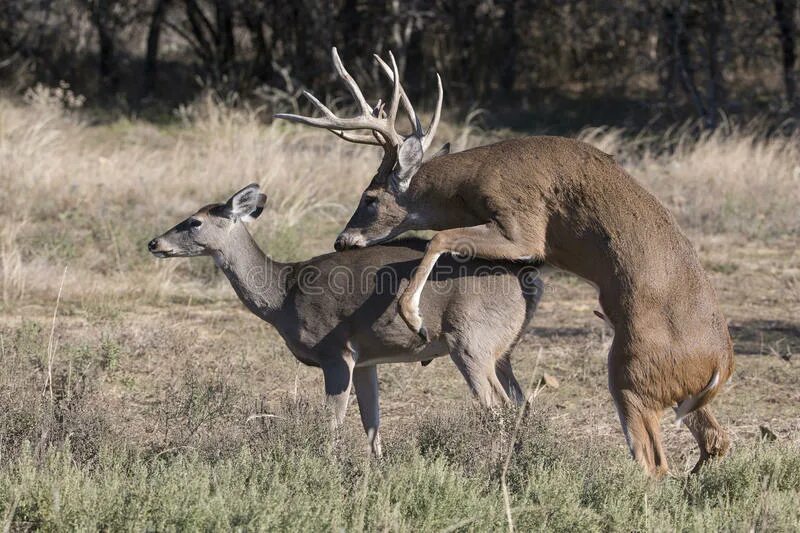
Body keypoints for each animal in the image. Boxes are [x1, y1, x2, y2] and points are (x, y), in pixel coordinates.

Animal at [148, 185, 544, 456]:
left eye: (195, 222)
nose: (154, 243)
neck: (282, 296)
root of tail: (527, 279)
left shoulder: (335, 351)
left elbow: (333, 423)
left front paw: (327, 470)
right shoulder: (366, 358)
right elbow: (372, 422)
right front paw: (375, 473)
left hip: (471, 340)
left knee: (499, 407)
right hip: (501, 349)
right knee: (522, 403)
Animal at [274, 47, 732, 476]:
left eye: (369, 198)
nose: (341, 241)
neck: (471, 180)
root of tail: (720, 366)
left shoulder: (523, 226)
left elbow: (440, 236)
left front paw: (413, 316)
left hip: (630, 375)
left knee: (654, 462)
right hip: (673, 393)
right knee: (716, 440)